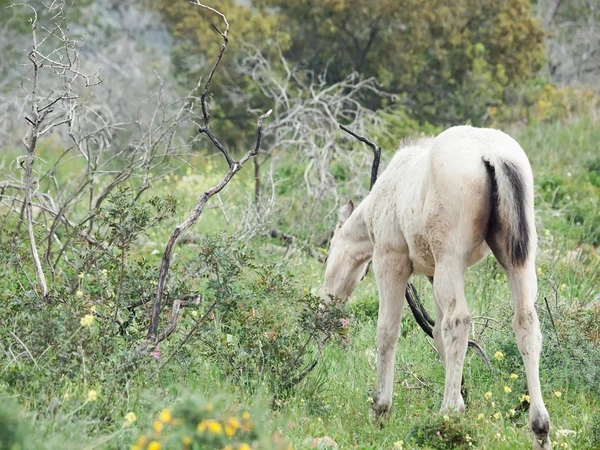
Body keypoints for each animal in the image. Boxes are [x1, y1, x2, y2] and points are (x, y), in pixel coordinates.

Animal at [322, 125, 552, 448]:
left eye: (327, 256)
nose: (325, 301)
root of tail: (494, 155)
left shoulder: (390, 259)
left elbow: (387, 332)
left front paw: (380, 409)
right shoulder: (432, 274)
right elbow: (437, 335)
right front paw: (461, 397)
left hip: (450, 257)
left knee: (459, 321)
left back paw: (448, 415)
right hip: (517, 258)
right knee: (525, 322)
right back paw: (539, 428)